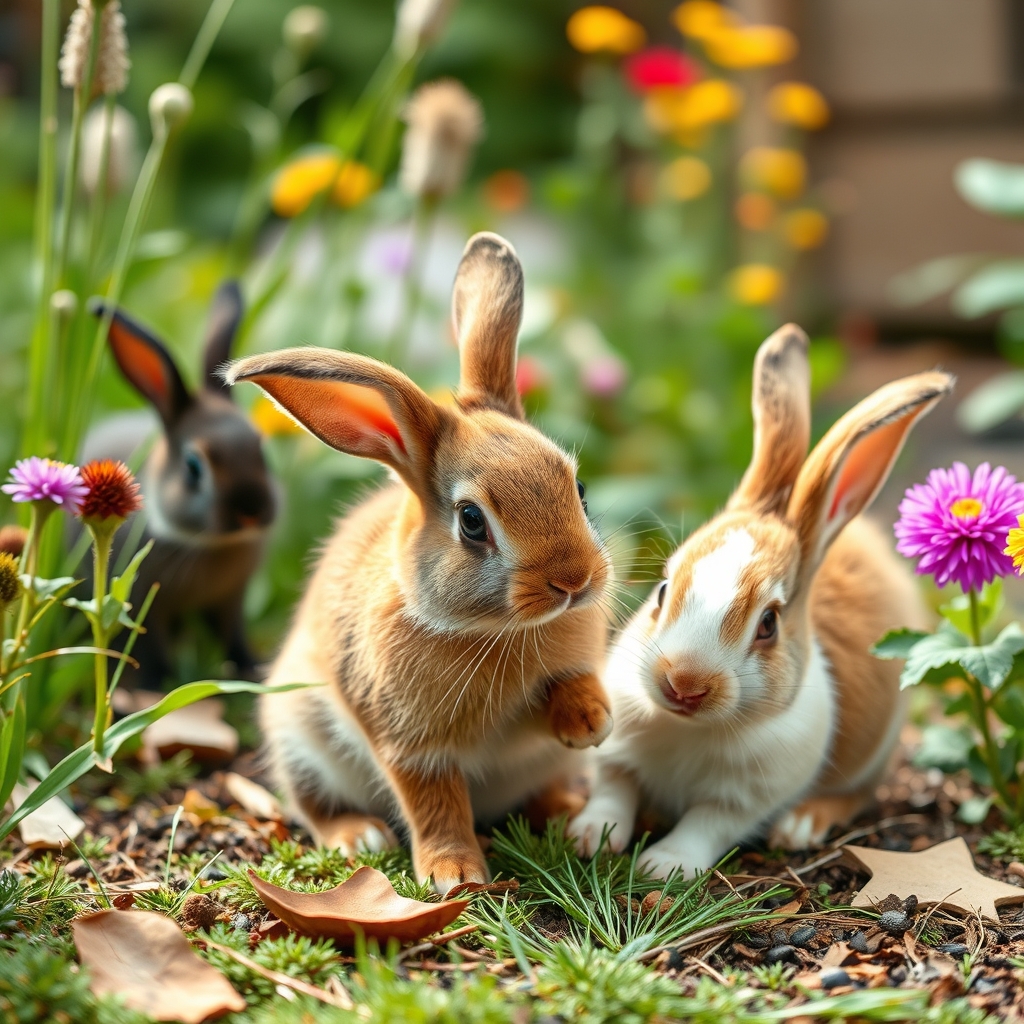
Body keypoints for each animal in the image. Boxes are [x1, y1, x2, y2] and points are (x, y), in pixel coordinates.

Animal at [80, 281, 276, 687]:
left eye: (260, 448)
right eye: (193, 466)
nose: (252, 513)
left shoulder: (230, 601)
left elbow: (233, 636)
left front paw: (251, 669)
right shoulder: (143, 604)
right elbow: (148, 649)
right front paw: (156, 685)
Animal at [224, 232, 613, 892]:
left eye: (578, 488)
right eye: (472, 521)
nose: (574, 581)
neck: (491, 629)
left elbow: (568, 685)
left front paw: (591, 722)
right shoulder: (409, 744)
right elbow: (434, 803)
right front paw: (454, 874)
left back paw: (566, 813)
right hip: (298, 734)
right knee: (316, 807)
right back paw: (359, 837)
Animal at [568, 324, 953, 879]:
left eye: (769, 623)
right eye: (663, 590)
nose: (683, 684)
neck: (689, 728)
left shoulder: (744, 800)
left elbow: (706, 824)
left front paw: (664, 866)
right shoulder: (615, 753)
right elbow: (613, 791)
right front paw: (588, 836)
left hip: (877, 751)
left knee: (857, 794)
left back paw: (801, 826)